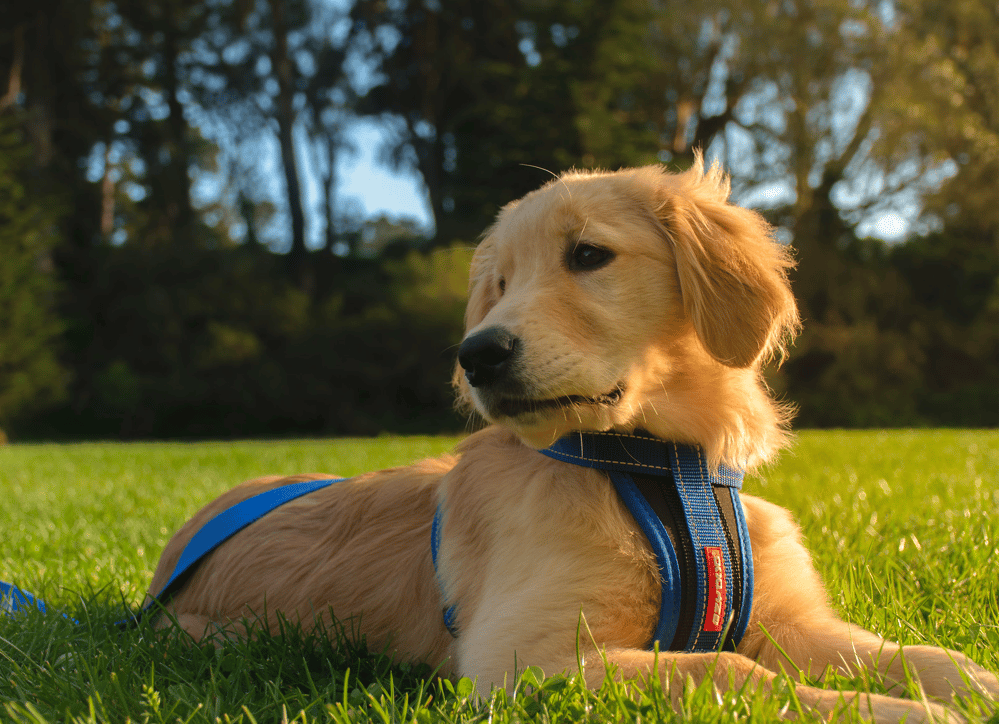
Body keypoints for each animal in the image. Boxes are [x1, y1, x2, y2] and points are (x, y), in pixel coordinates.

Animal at [150, 157, 1000, 720]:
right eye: (499, 285)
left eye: (588, 255)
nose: (477, 356)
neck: (660, 468)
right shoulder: (521, 658)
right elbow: (728, 673)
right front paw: (905, 713)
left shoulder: (791, 619)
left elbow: (907, 653)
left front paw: (974, 685)